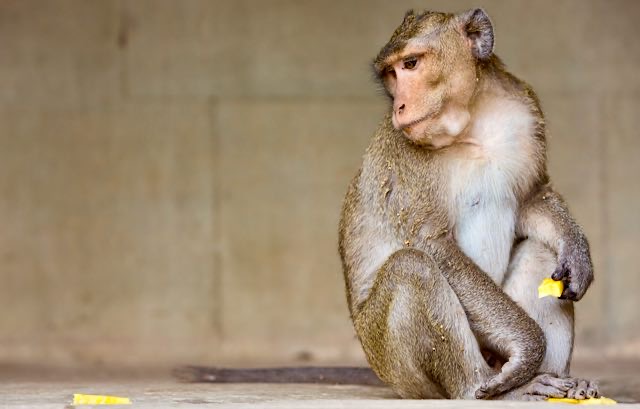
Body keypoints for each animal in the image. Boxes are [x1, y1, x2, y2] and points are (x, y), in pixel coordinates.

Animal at [175, 7, 600, 400]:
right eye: (390, 74)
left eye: (410, 64)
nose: (400, 106)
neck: (472, 125)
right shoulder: (406, 156)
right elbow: (432, 245)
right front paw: (528, 347)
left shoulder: (525, 111)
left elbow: (532, 197)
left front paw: (577, 249)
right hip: (394, 364)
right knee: (412, 268)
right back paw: (491, 386)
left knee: (541, 252)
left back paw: (558, 378)